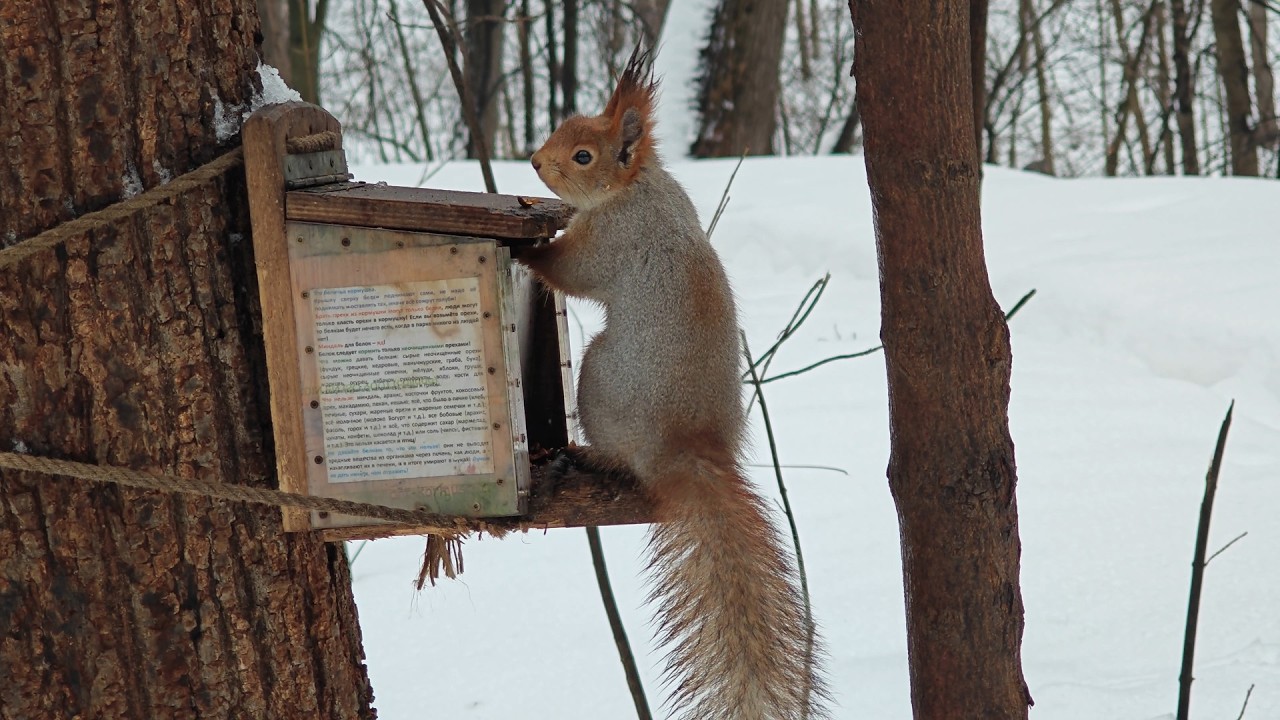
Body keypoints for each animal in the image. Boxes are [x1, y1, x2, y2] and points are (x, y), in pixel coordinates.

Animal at [518, 46, 829, 720]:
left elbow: (572, 271)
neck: (634, 187)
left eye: (583, 156)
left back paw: (586, 453)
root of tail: (687, 448)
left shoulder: (614, 241)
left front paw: (529, 250)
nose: (533, 162)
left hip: (600, 378)